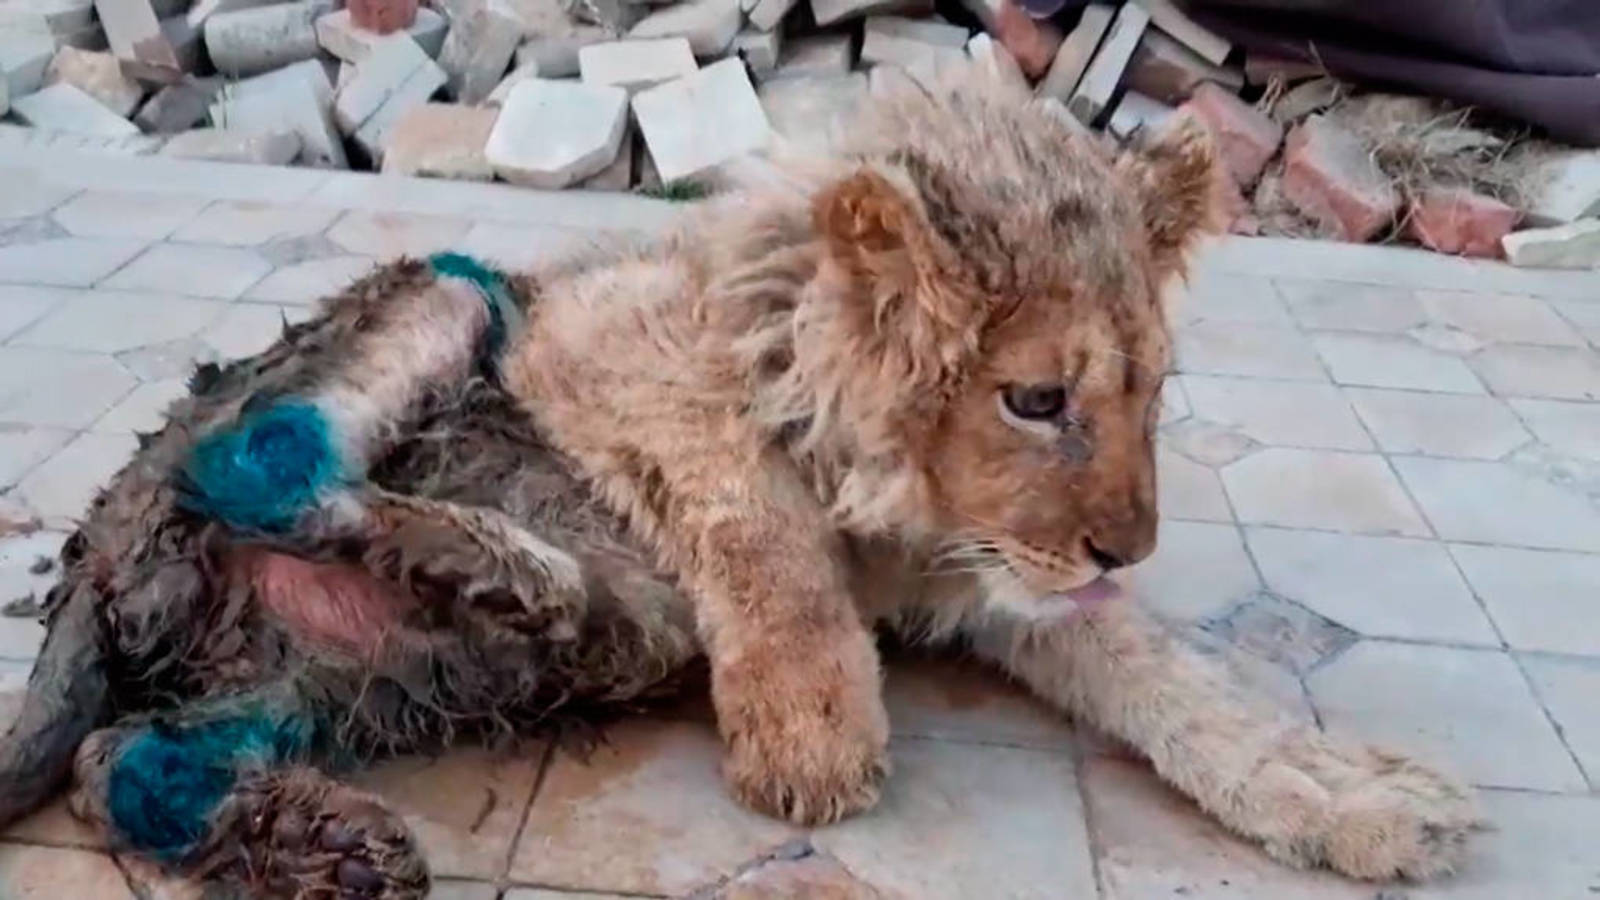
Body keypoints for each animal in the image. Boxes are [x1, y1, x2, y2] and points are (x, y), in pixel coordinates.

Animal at [0, 77, 1476, 898]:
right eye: (1036, 401)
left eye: (1150, 395)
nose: (1127, 552)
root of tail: (96, 545)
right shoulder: (603, 337)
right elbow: (745, 502)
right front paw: (810, 723)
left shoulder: (998, 575)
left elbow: (1183, 687)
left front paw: (1353, 798)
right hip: (452, 296)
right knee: (262, 459)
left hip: (346, 682)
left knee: (119, 760)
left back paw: (344, 836)